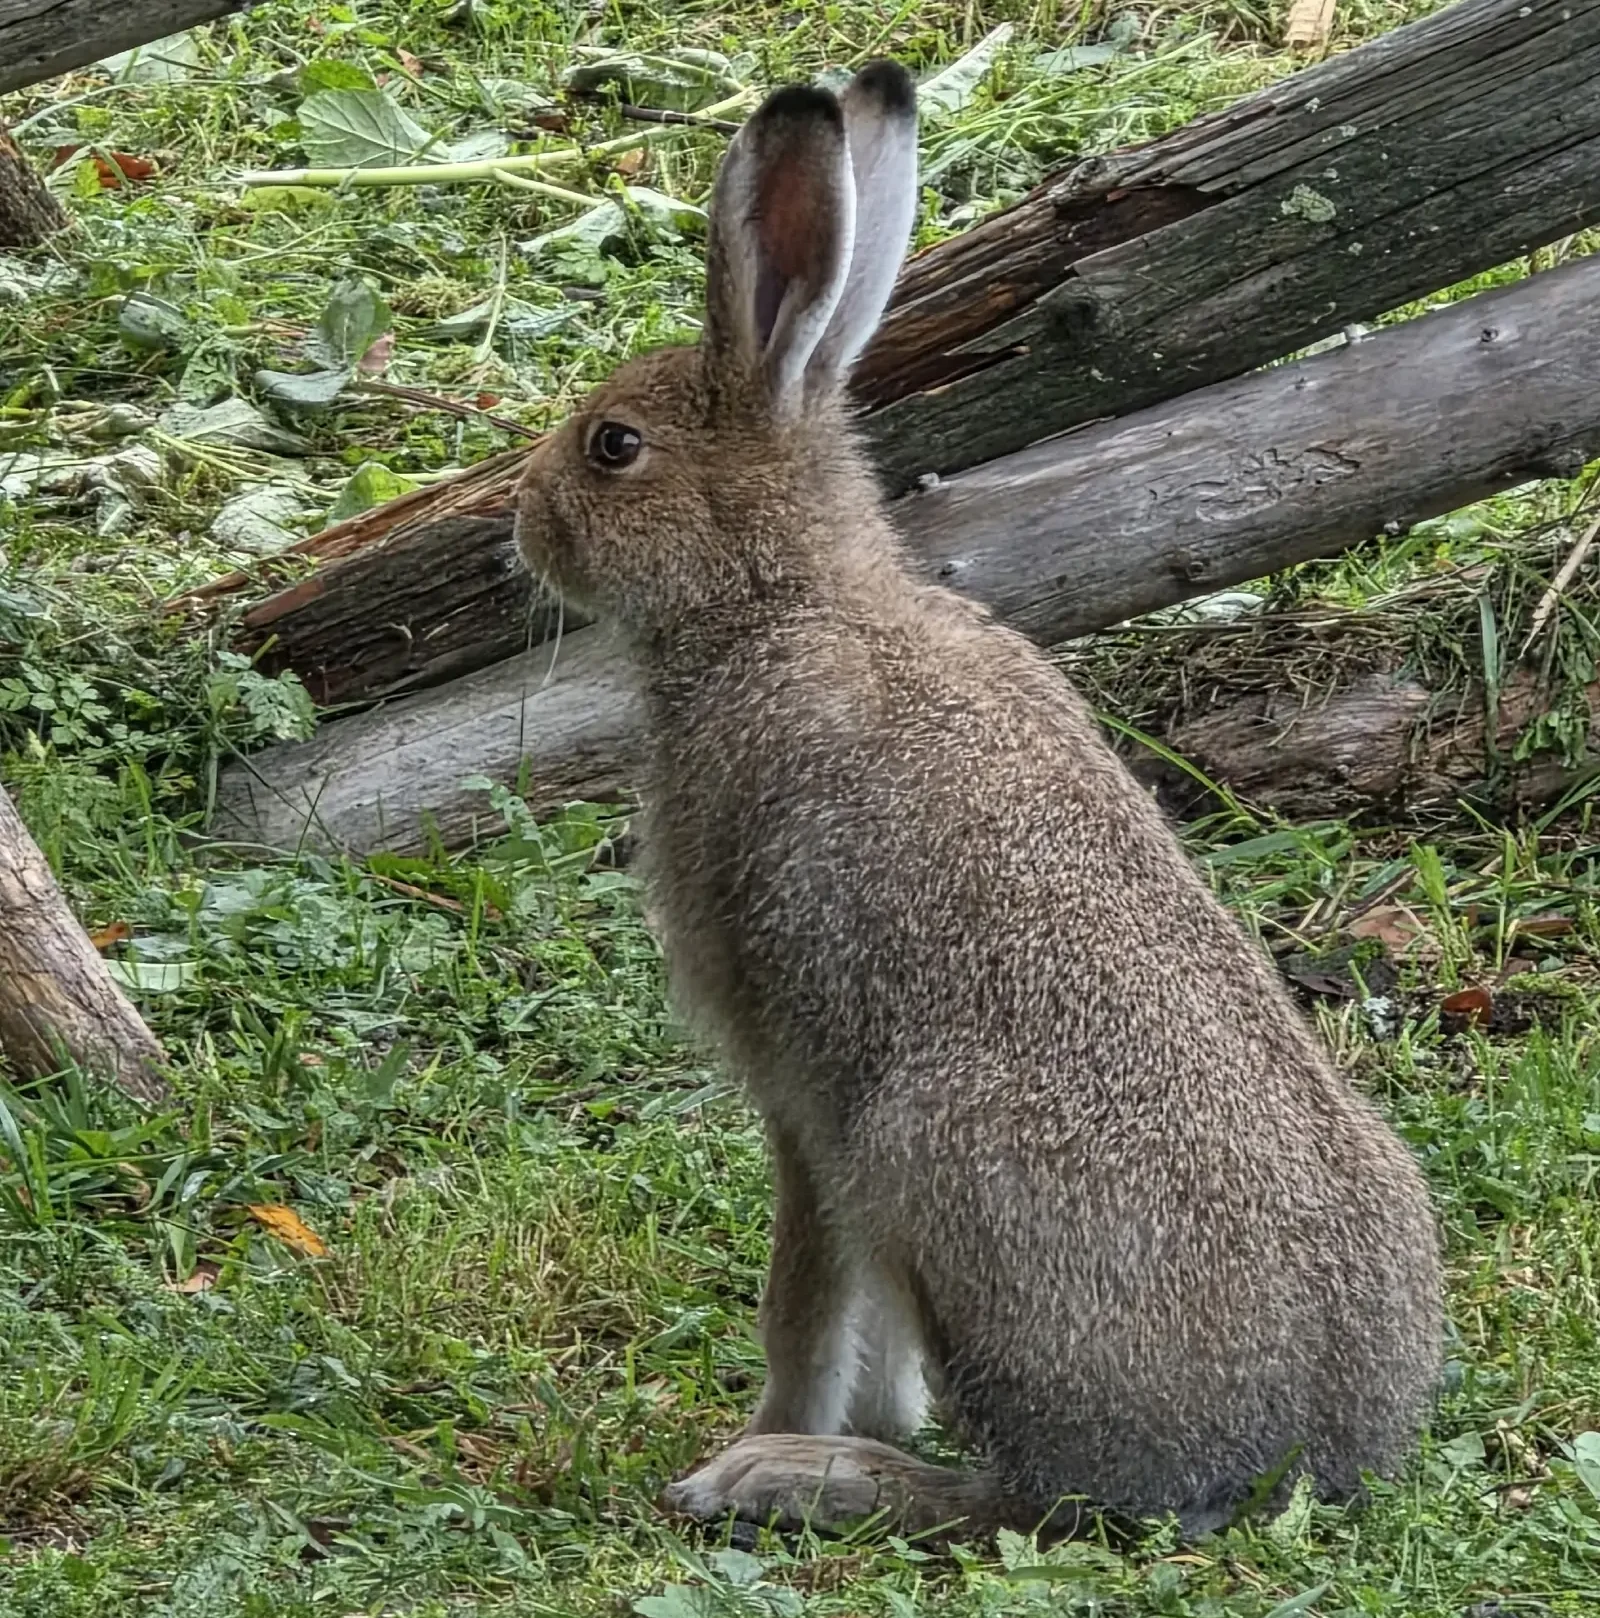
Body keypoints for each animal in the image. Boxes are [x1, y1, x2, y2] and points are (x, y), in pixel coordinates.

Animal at [510, 60, 1444, 1542]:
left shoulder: (798, 1086)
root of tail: (1285, 1452)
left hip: (924, 1163)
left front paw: (770, 1433)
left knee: (1014, 1499)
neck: (784, 600)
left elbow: (806, 1293)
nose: (522, 522)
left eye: (613, 447)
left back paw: (801, 1476)